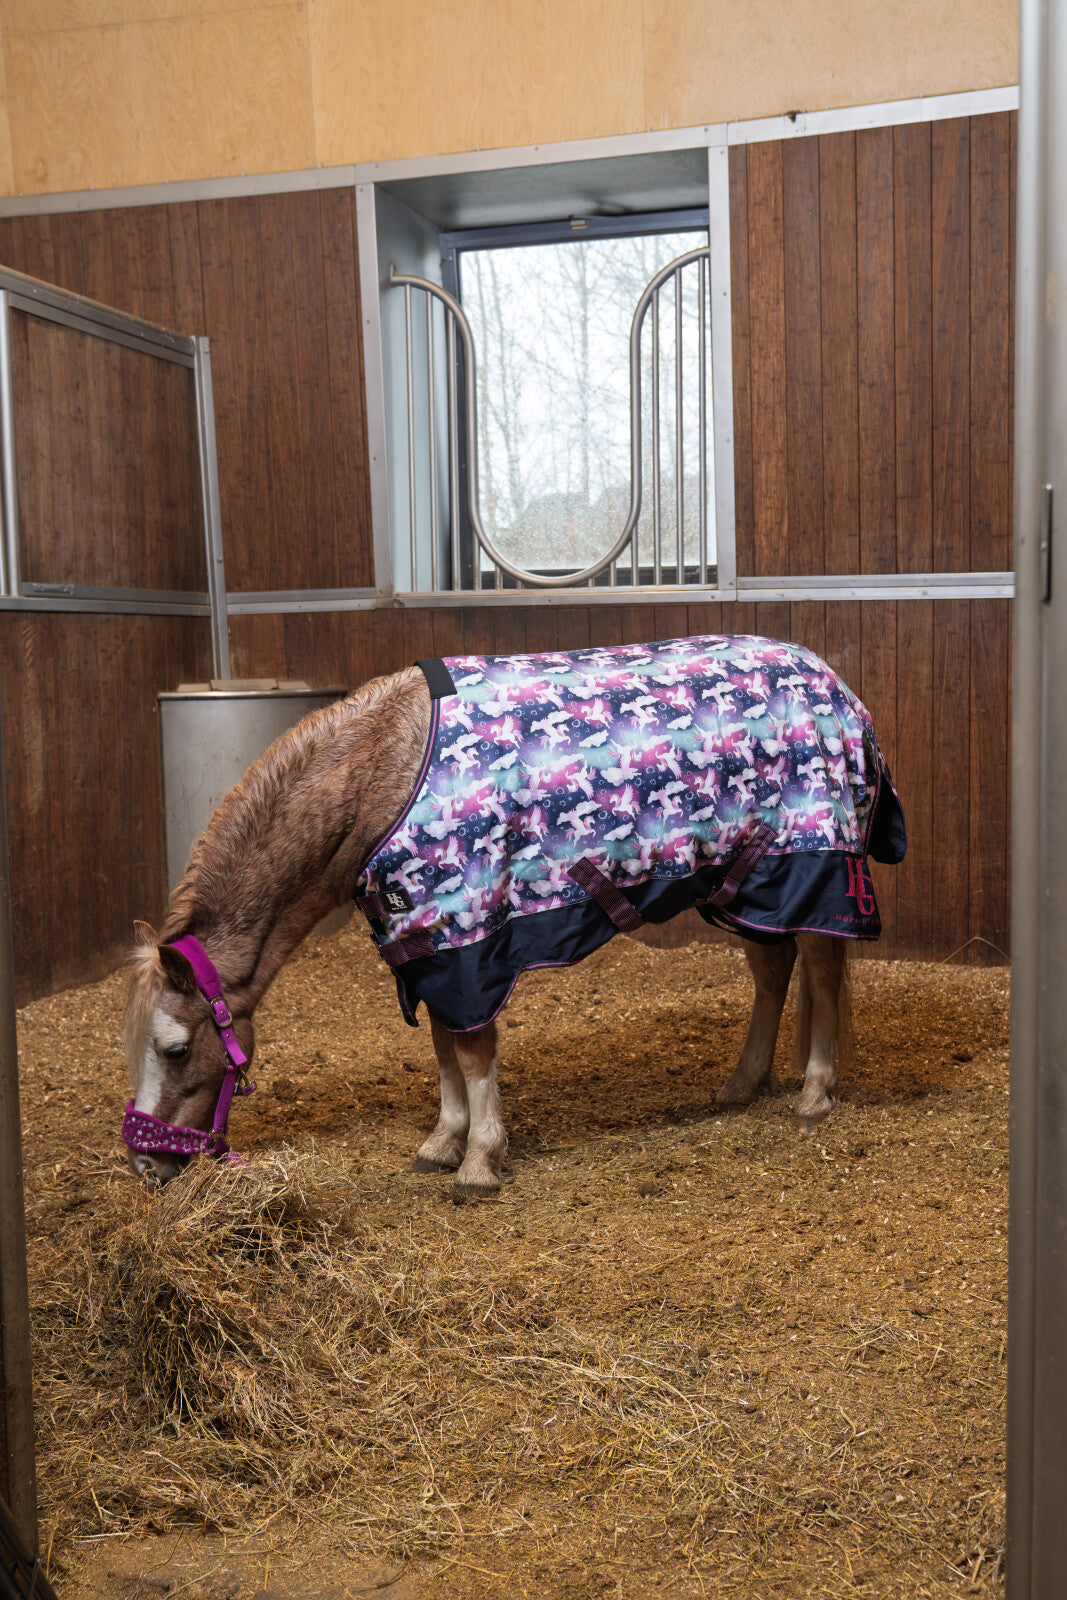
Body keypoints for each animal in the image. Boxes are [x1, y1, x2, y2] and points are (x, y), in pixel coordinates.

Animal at [123, 634, 905, 1193]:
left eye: (175, 1049)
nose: (144, 1165)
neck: (384, 773)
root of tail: (838, 686)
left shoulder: (466, 938)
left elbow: (472, 1049)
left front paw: (479, 1160)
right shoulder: (425, 947)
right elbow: (444, 1048)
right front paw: (443, 1142)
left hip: (814, 866)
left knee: (822, 970)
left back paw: (814, 1093)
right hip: (741, 885)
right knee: (774, 968)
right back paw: (743, 1083)